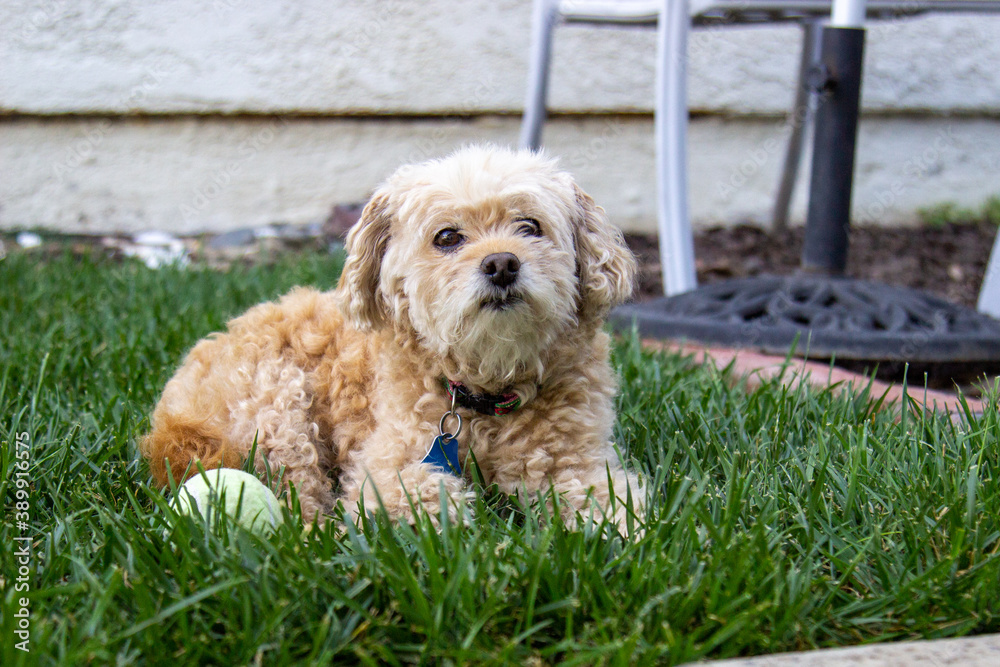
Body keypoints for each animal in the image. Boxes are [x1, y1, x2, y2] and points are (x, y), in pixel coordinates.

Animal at [139, 144, 640, 528]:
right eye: (447, 237)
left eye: (530, 226)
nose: (502, 264)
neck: (483, 393)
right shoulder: (387, 464)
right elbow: (409, 492)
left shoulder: (574, 465)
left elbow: (614, 504)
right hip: (277, 410)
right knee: (297, 498)